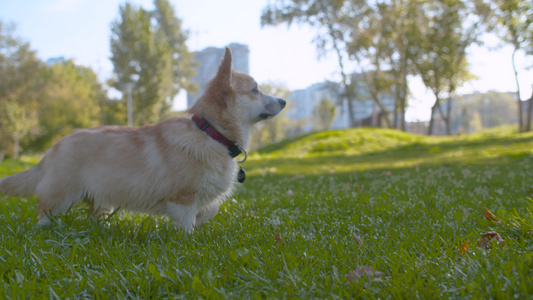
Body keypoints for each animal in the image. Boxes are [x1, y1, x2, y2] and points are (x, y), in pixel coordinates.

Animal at [0, 48, 286, 232]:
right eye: (255, 89)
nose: (284, 100)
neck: (211, 133)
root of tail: (51, 151)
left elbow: (210, 209)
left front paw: (201, 222)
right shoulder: (181, 199)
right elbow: (187, 225)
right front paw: (190, 241)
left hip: (99, 199)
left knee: (95, 215)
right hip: (60, 197)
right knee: (44, 214)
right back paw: (45, 231)